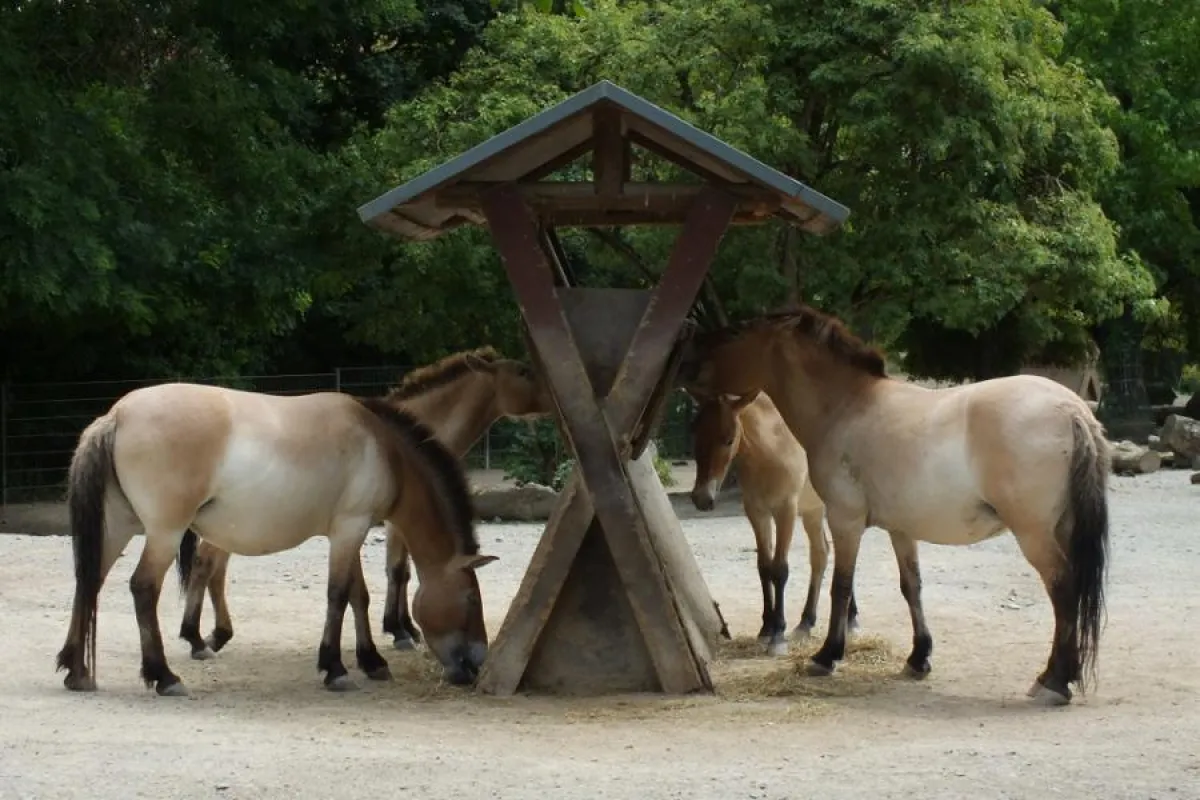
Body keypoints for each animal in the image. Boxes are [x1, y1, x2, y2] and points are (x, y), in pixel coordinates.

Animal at [55, 382, 498, 696]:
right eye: (472, 599)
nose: (477, 663)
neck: (382, 447)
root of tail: (115, 416)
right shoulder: (350, 528)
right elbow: (339, 595)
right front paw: (335, 668)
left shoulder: (347, 531)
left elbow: (358, 596)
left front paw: (372, 661)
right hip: (164, 533)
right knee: (143, 588)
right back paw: (164, 676)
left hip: (117, 527)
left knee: (88, 581)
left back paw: (77, 670)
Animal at [176, 348, 552, 659]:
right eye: (523, 372)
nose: (551, 396)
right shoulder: (391, 524)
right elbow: (398, 571)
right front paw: (399, 630)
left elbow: (400, 573)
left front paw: (402, 628)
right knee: (205, 567)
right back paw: (200, 638)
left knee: (214, 571)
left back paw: (214, 635)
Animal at [687, 390, 860, 656]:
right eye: (695, 431)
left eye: (728, 439)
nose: (702, 498)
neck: (771, 450)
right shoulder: (757, 513)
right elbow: (763, 567)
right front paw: (766, 627)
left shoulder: (785, 511)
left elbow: (779, 570)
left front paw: (778, 635)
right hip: (813, 512)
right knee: (822, 554)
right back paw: (806, 622)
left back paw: (851, 620)